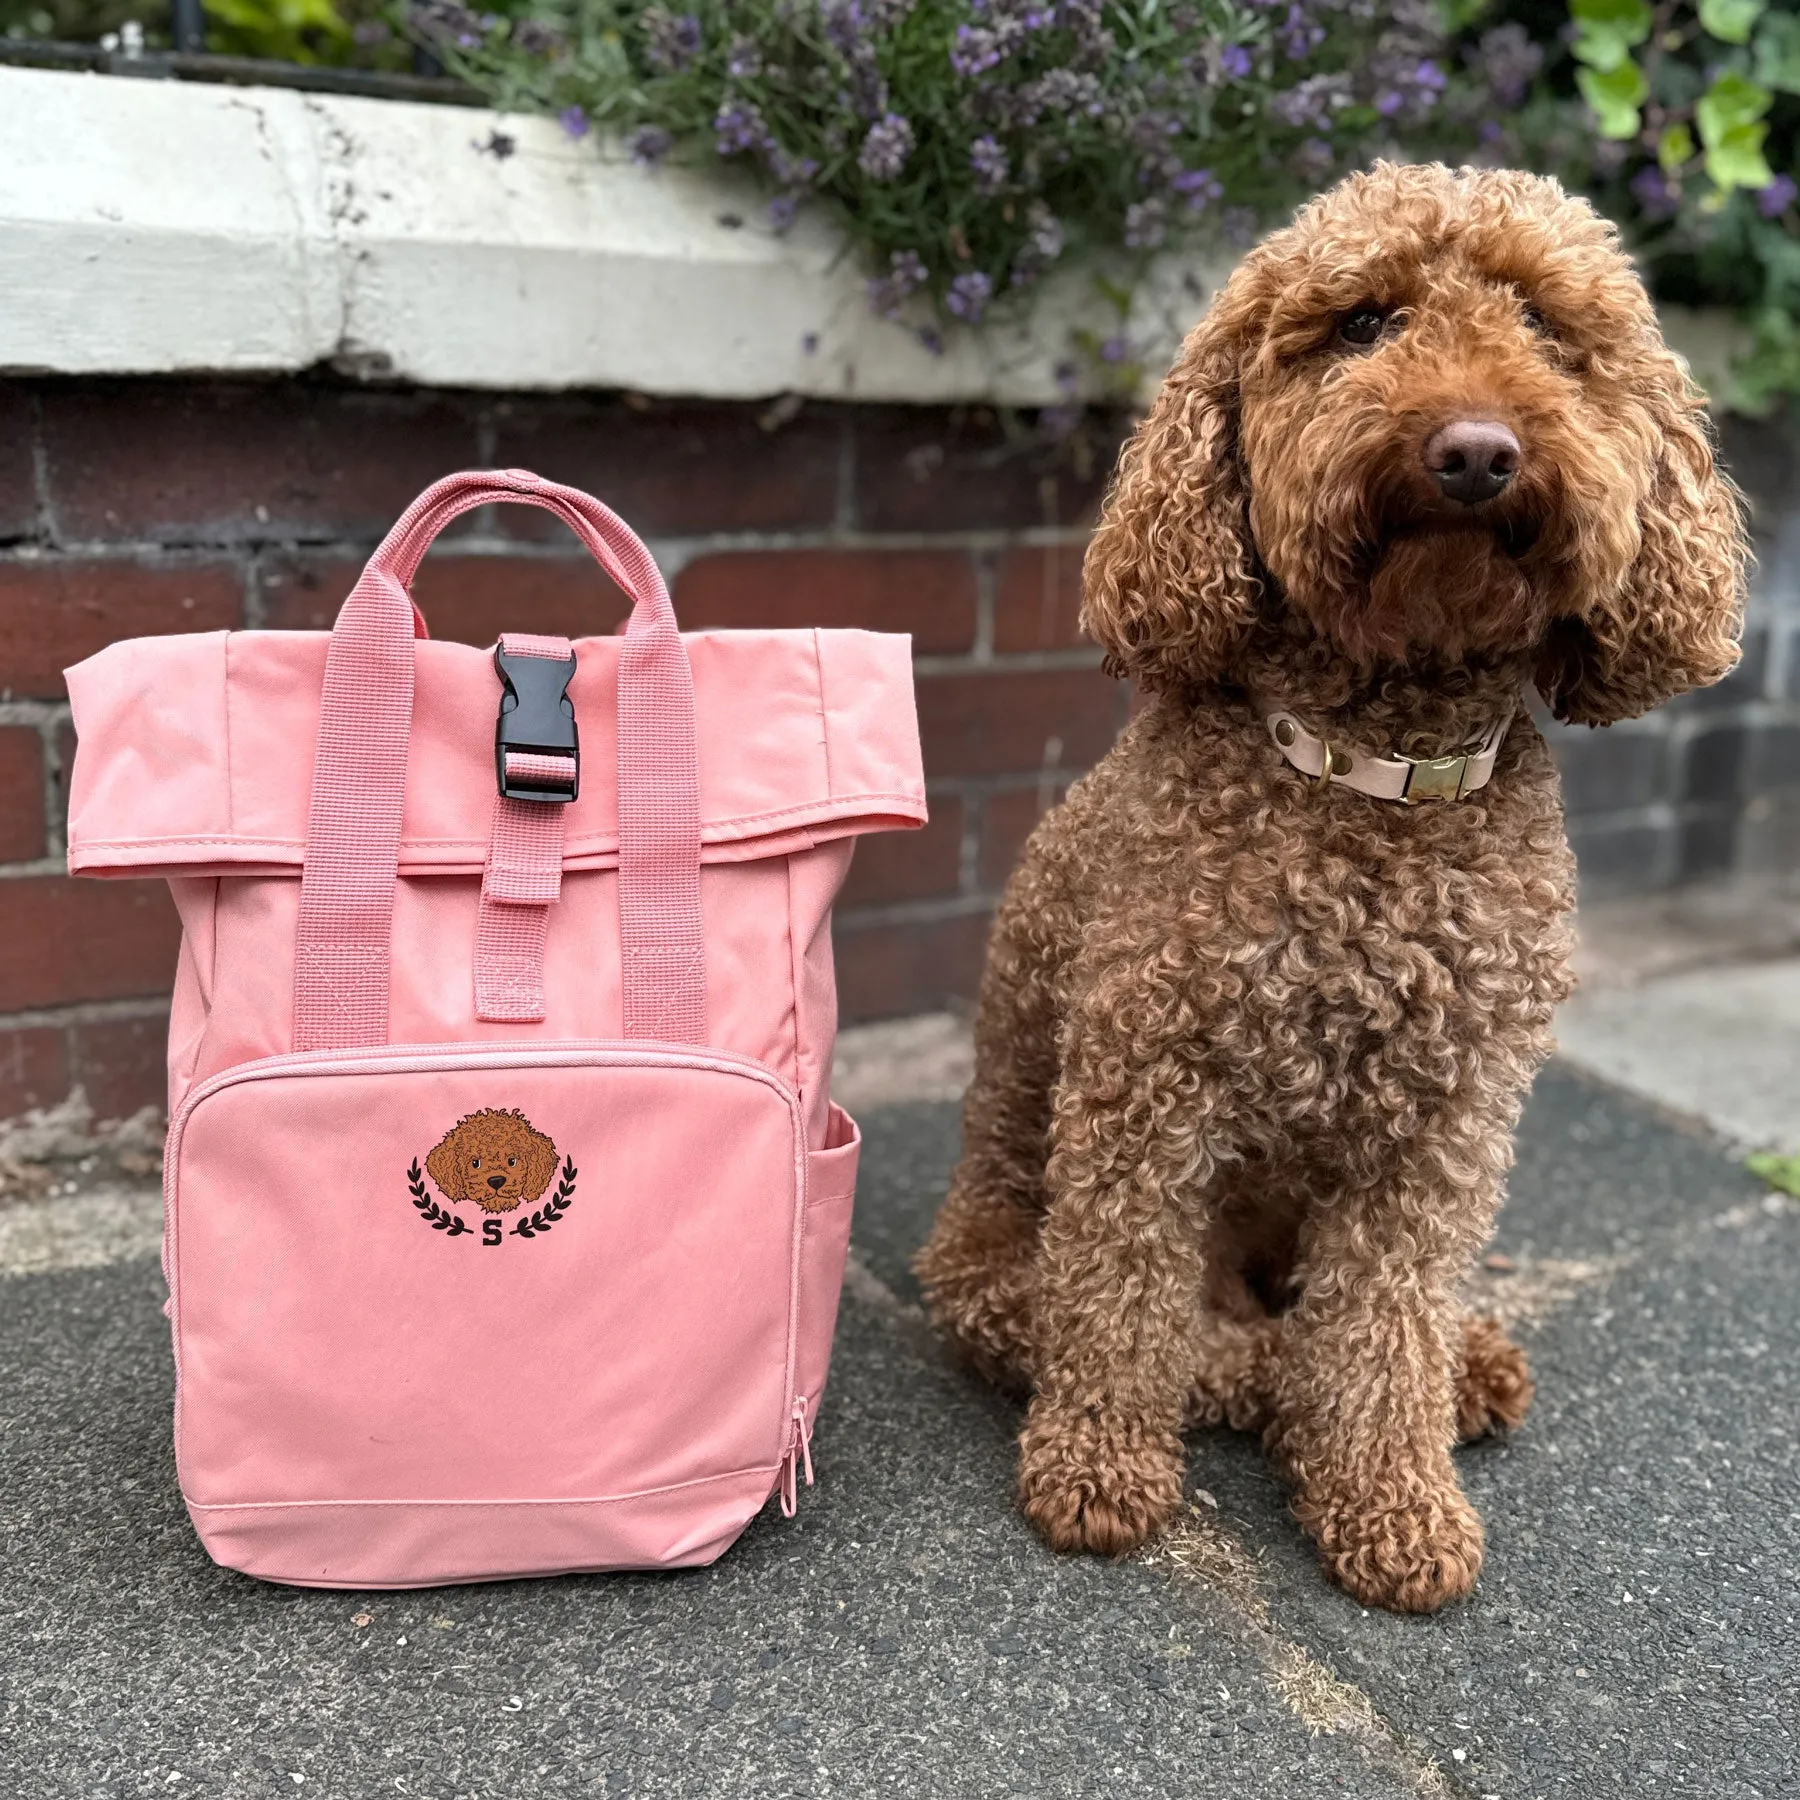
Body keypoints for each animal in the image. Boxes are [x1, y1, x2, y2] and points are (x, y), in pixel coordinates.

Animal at [914, 162, 1742, 1612]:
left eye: (1544, 327)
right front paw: (1098, 1471)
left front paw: (1393, 1500)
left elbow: (1385, 1319)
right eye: (1361, 324)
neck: (1377, 775)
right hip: (1000, 1274)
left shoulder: (1448, 1121)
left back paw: (1460, 1366)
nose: (1475, 451)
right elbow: (1126, 1304)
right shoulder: (1148, 1078)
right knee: (1195, 1345)